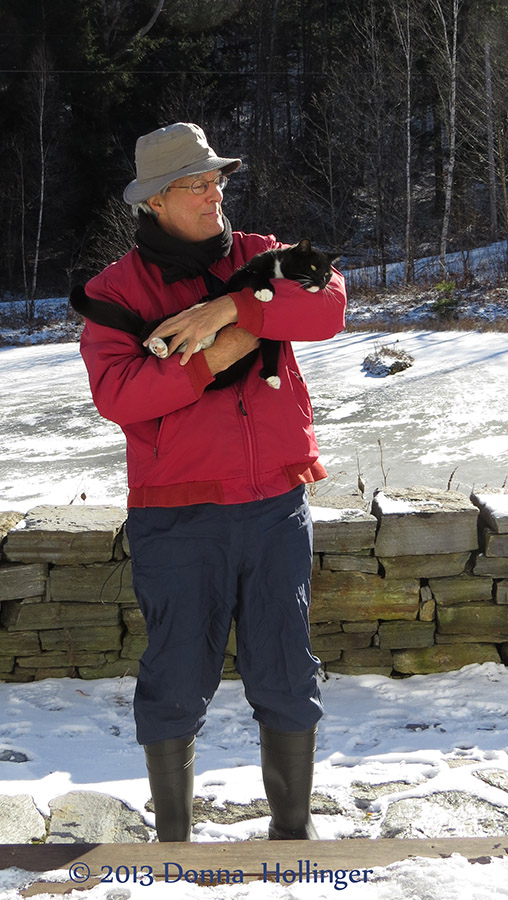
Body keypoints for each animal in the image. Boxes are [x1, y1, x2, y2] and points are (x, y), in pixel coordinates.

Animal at [68, 239, 338, 390]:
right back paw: (160, 345)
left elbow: (271, 351)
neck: (279, 271)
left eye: (328, 274)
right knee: (155, 341)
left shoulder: (272, 334)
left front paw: (272, 377)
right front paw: (265, 291)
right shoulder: (240, 276)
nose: (322, 283)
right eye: (313, 267)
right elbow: (253, 275)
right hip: (177, 319)